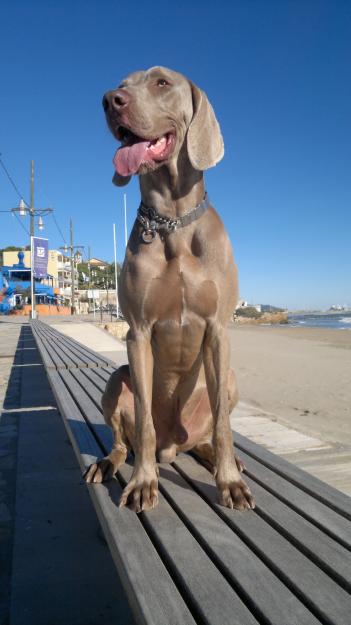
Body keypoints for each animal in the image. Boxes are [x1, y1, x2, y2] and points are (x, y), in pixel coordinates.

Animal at [85, 66, 256, 512]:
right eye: (121, 85)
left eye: (161, 82)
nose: (110, 100)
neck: (172, 222)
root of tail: (172, 447)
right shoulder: (138, 333)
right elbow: (143, 422)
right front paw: (144, 482)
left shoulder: (217, 329)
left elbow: (224, 425)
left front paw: (230, 482)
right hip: (117, 381)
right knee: (124, 442)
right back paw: (108, 463)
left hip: (229, 379)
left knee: (209, 433)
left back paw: (223, 460)